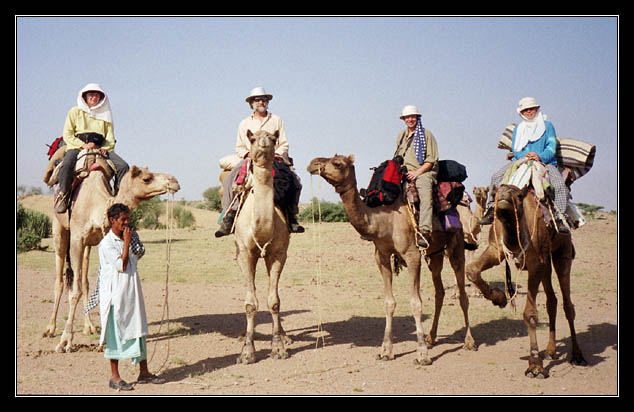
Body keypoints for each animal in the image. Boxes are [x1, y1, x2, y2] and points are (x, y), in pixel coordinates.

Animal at [42, 159, 180, 352]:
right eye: (147, 178)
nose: (174, 181)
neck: (96, 206)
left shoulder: (99, 239)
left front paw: (106, 339)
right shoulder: (77, 239)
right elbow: (74, 292)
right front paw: (65, 341)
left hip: (87, 246)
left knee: (84, 281)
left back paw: (89, 326)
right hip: (59, 229)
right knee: (60, 280)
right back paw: (50, 328)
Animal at [232, 129, 292, 364]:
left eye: (274, 137)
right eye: (252, 138)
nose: (264, 143)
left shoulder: (278, 254)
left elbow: (274, 301)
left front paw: (278, 347)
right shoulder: (245, 254)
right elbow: (250, 303)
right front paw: (247, 352)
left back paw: (284, 336)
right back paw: (243, 336)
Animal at [306, 154, 474, 364]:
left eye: (337, 163)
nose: (312, 163)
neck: (384, 221)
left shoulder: (412, 255)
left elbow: (416, 303)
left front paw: (422, 354)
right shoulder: (382, 256)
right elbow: (389, 302)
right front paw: (386, 351)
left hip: (457, 244)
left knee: (462, 293)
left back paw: (469, 342)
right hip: (435, 254)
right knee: (439, 291)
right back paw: (431, 337)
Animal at [462, 185, 584, 378]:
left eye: (519, 195)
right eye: (495, 194)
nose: (504, 196)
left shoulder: (535, 264)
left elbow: (530, 314)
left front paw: (535, 366)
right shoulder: (496, 249)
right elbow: (471, 270)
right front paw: (499, 298)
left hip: (561, 252)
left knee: (567, 304)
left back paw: (578, 355)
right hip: (547, 263)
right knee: (552, 301)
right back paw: (550, 351)